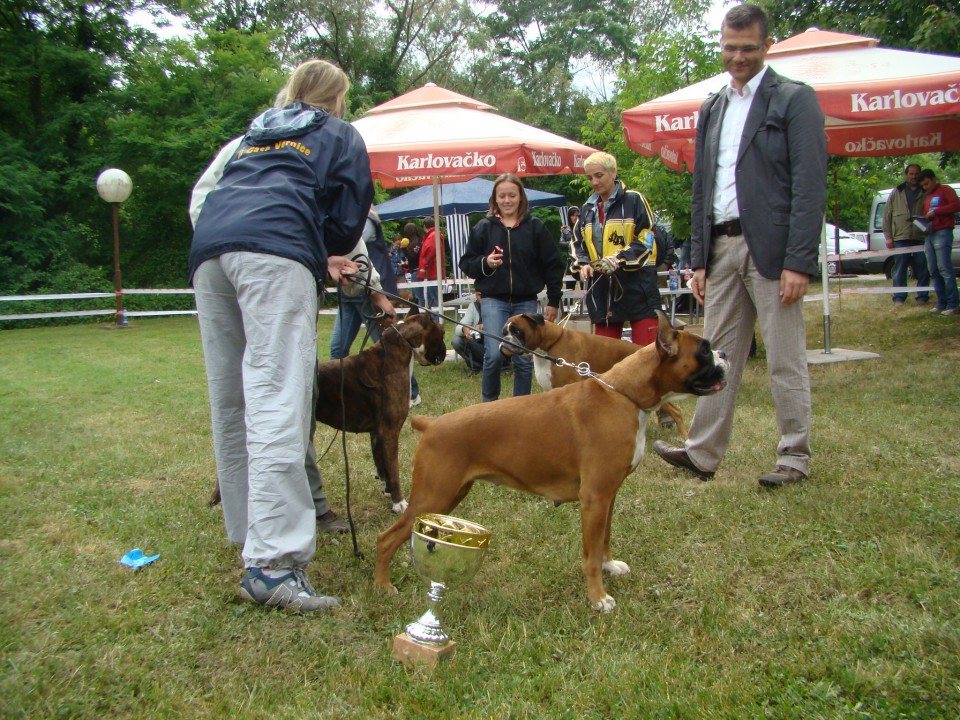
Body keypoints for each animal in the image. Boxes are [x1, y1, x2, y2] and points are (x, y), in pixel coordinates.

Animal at [316, 306, 448, 516]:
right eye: (442, 333)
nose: (444, 351)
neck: (402, 345)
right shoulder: (389, 431)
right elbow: (393, 468)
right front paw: (399, 503)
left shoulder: (376, 432)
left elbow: (382, 464)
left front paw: (387, 490)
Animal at [498, 310, 688, 438]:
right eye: (504, 332)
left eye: (517, 331)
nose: (504, 341)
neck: (549, 345)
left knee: (676, 411)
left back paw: (684, 439)